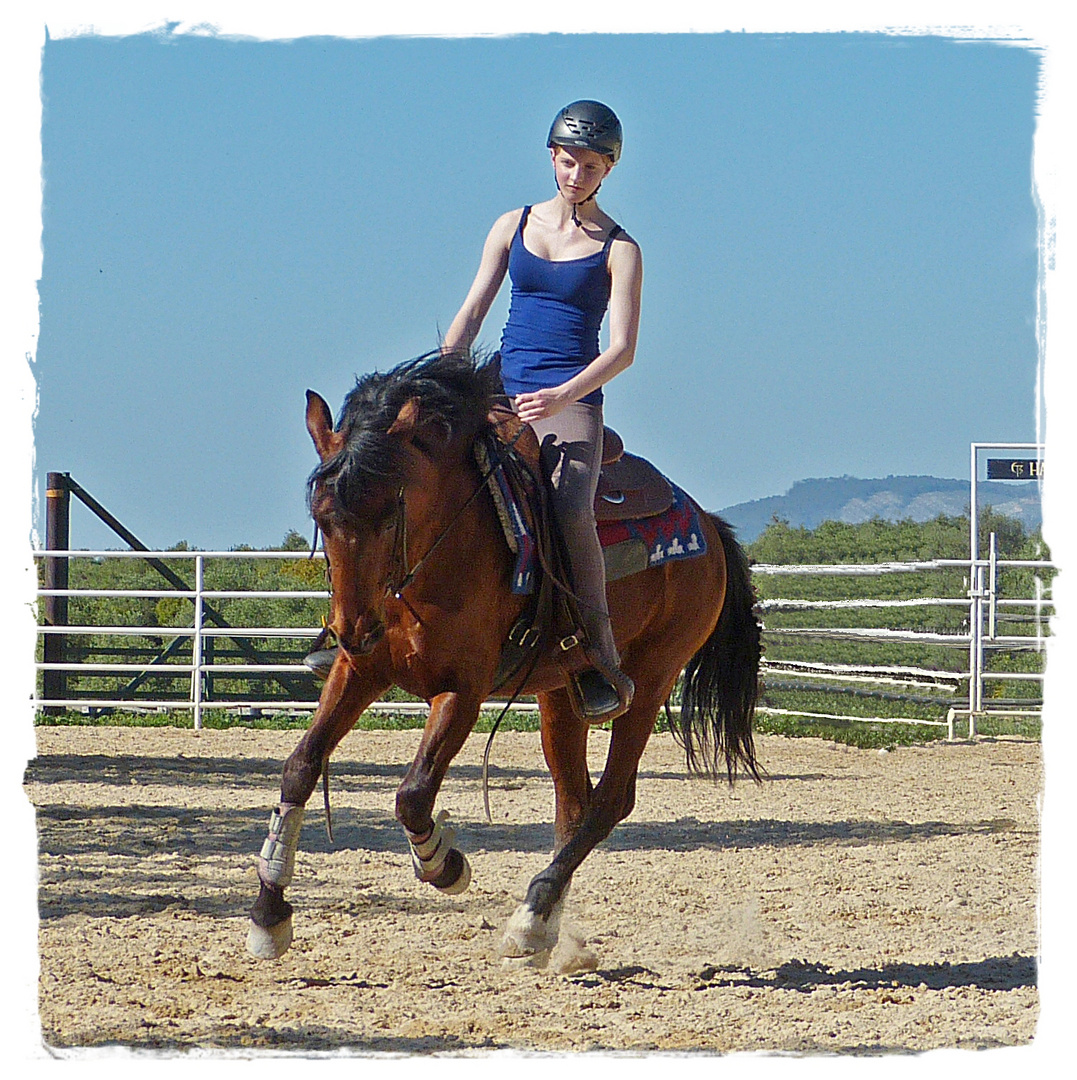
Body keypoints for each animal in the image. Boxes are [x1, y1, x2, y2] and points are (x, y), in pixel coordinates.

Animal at [248, 349, 760, 967]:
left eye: (390, 513)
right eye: (323, 518)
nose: (352, 629)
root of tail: (707, 522)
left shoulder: (462, 689)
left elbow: (413, 795)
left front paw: (444, 863)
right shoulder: (360, 671)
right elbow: (300, 766)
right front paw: (269, 913)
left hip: (653, 678)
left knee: (610, 800)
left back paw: (532, 914)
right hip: (561, 696)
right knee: (573, 805)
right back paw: (546, 927)